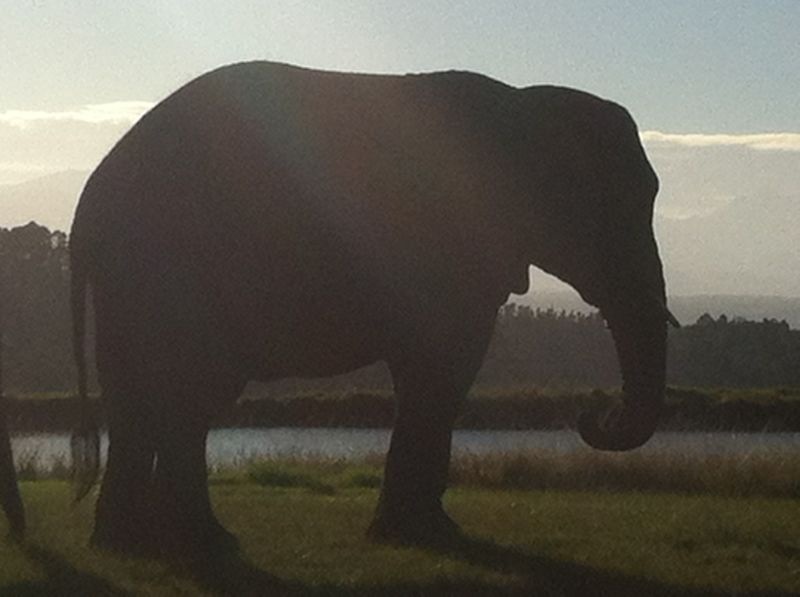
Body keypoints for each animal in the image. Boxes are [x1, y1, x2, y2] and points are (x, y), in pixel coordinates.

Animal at [68, 60, 677, 556]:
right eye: (608, 203)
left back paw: (132, 544)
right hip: (173, 269)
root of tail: (89, 201)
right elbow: (444, 371)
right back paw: (197, 542)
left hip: (134, 278)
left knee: (144, 397)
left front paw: (422, 532)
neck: (522, 102)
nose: (592, 410)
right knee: (184, 397)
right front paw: (423, 535)